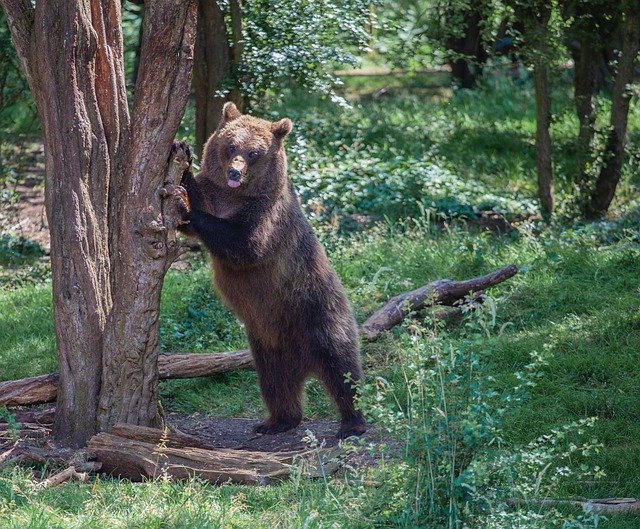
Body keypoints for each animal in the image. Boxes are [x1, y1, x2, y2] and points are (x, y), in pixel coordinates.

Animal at [180, 100, 368, 438]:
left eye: (255, 152)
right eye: (231, 145)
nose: (234, 171)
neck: (237, 195)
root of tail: (304, 363)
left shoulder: (267, 215)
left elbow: (245, 244)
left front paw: (187, 208)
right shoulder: (217, 194)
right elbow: (201, 194)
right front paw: (182, 161)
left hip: (318, 311)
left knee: (342, 366)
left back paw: (352, 423)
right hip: (266, 343)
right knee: (274, 382)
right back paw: (276, 421)